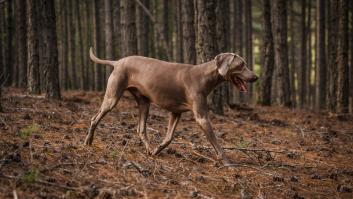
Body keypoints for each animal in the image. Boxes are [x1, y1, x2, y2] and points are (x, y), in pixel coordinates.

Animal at [84, 47, 258, 164]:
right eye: (241, 64)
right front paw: (228, 163)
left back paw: (149, 149)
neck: (204, 77)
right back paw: (88, 142)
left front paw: (157, 150)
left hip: (144, 102)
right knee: (94, 118)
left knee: (141, 129)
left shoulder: (176, 113)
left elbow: (169, 138)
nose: (256, 77)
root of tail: (118, 61)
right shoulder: (202, 118)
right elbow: (216, 143)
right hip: (112, 98)